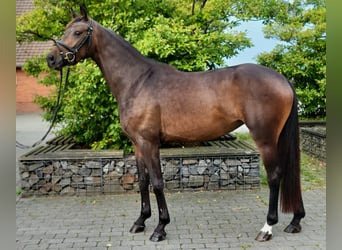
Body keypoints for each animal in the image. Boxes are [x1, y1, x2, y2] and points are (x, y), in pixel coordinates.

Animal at [46, 5, 306, 243]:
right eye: (66, 29)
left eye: (78, 32)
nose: (51, 58)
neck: (137, 81)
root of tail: (282, 79)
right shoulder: (137, 144)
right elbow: (143, 182)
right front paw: (140, 221)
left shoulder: (149, 143)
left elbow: (158, 183)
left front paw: (160, 228)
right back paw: (295, 221)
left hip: (265, 139)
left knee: (275, 176)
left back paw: (267, 228)